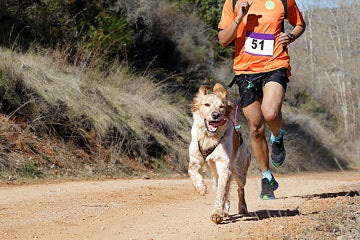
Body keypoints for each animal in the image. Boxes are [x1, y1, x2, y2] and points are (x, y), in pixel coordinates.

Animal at [188, 83, 250, 224]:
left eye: (222, 106)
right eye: (206, 104)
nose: (215, 115)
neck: (209, 137)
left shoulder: (224, 167)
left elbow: (220, 194)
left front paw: (216, 214)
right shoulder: (195, 160)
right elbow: (192, 172)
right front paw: (201, 188)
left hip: (239, 171)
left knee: (240, 189)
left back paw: (242, 207)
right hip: (216, 176)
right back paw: (225, 210)